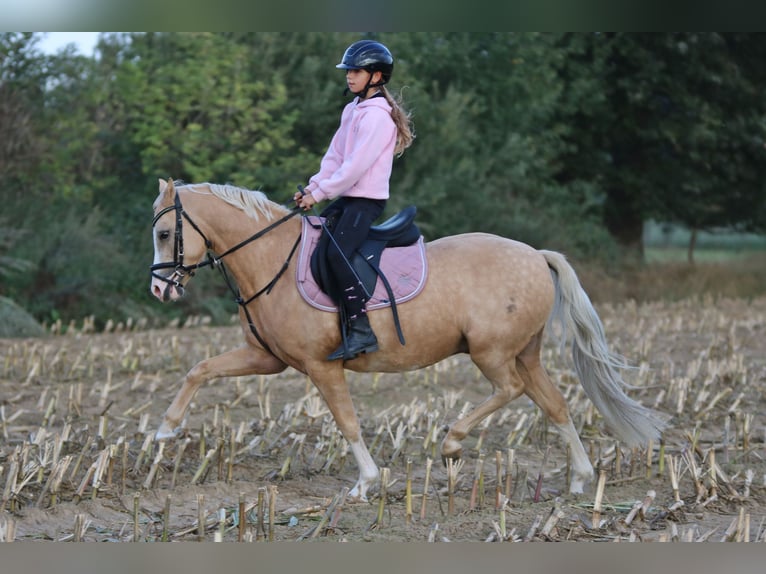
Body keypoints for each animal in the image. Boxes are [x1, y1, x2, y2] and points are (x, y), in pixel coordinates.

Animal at [149, 178, 668, 500]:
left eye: (165, 232)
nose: (159, 289)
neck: (271, 257)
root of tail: (536, 255)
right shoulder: (264, 358)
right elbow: (199, 370)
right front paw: (164, 430)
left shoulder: (322, 367)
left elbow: (348, 422)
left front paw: (366, 483)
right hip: (525, 353)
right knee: (555, 404)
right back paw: (580, 479)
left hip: (492, 352)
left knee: (511, 390)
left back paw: (453, 443)